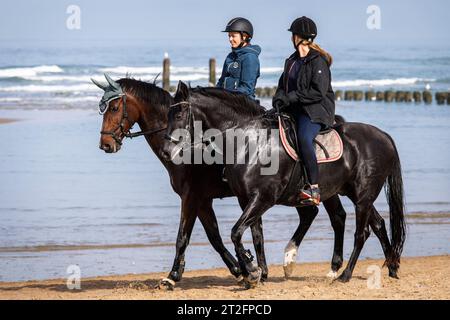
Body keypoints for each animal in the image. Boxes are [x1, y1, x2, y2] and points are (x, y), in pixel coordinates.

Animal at [94, 74, 352, 288]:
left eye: (114, 107)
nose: (105, 144)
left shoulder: (193, 197)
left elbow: (185, 237)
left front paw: (174, 276)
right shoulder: (204, 201)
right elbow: (217, 237)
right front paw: (244, 269)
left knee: (331, 217)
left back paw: (312, 264)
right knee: (322, 215)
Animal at [165, 82, 408, 288]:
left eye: (179, 114)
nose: (167, 152)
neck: (249, 141)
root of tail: (384, 136)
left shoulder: (262, 198)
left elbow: (235, 232)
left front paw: (250, 269)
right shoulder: (246, 199)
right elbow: (255, 234)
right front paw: (256, 273)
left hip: (362, 196)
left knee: (360, 232)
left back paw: (344, 274)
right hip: (351, 193)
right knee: (373, 224)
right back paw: (389, 267)